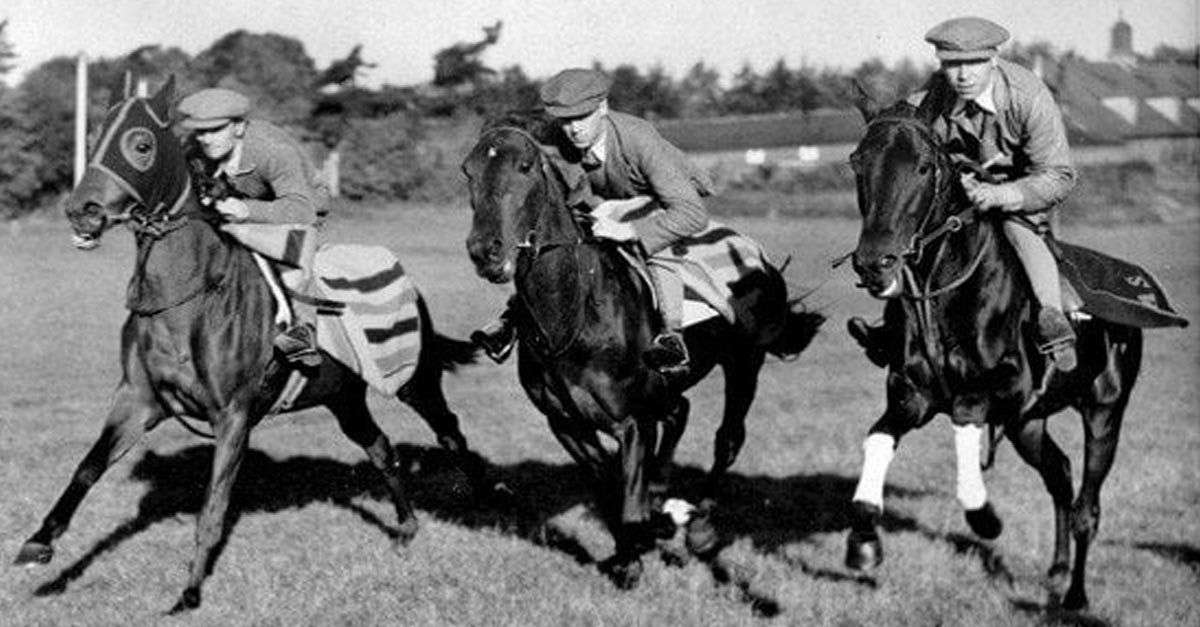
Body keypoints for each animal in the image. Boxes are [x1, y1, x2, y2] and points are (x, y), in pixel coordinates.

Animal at [15, 75, 492, 612]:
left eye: (140, 145)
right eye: (93, 136)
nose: (82, 210)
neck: (186, 298)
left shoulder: (233, 416)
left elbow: (214, 507)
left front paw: (190, 591)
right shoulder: (138, 401)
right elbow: (87, 468)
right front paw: (40, 544)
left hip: (414, 379)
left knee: (450, 432)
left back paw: (485, 498)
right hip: (344, 398)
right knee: (380, 448)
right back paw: (407, 527)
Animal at [460, 114, 825, 588]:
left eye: (524, 167)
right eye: (468, 171)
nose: (485, 251)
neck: (574, 313)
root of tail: (757, 255)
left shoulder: (631, 420)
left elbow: (629, 494)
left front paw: (639, 546)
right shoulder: (566, 425)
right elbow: (610, 487)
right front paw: (631, 549)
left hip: (744, 362)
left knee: (727, 438)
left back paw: (700, 530)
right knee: (679, 413)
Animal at [840, 100, 1147, 607]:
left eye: (923, 167)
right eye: (857, 163)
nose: (874, 264)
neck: (940, 296)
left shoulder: (1002, 387)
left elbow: (966, 415)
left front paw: (983, 514)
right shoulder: (910, 396)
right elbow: (878, 440)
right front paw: (863, 541)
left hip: (1105, 411)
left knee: (1087, 506)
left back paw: (1075, 595)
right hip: (1028, 425)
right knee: (1060, 476)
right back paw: (1057, 570)